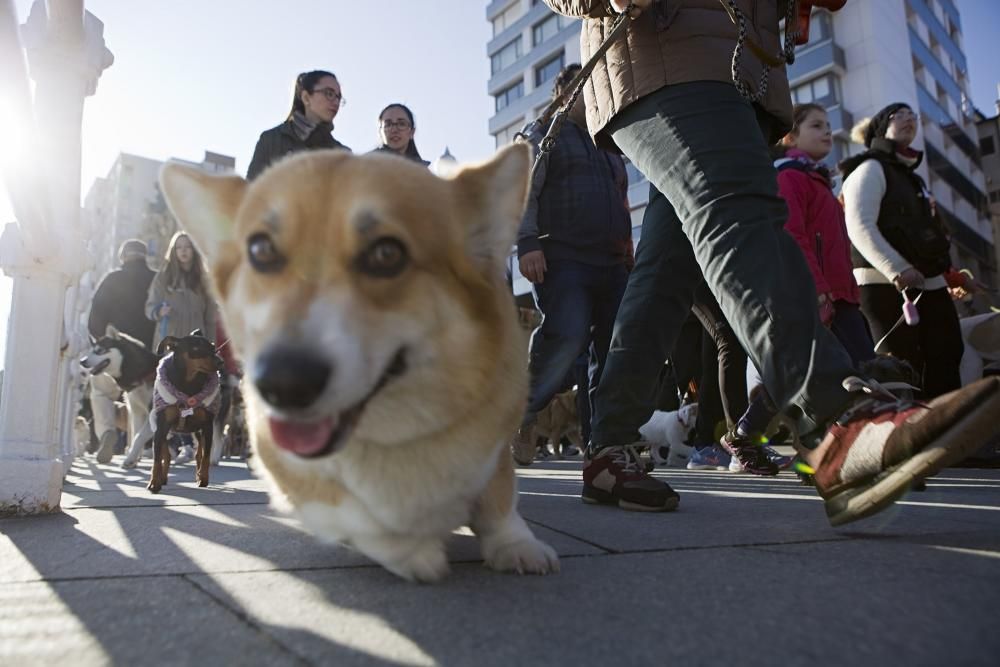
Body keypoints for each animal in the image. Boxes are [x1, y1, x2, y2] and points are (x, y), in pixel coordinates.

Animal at [146, 332, 221, 494]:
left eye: (213, 348)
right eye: (196, 348)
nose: (221, 362)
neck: (188, 384)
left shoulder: (207, 426)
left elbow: (206, 456)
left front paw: (203, 478)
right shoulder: (161, 426)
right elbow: (156, 459)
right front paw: (154, 483)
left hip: (199, 431)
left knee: (199, 454)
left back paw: (198, 475)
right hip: (163, 431)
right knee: (166, 455)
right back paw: (162, 478)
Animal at [160, 145, 560, 580]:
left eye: (387, 254)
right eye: (260, 250)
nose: (282, 384)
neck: (392, 436)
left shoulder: (496, 443)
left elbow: (499, 498)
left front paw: (516, 546)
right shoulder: (291, 464)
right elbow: (351, 513)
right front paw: (413, 552)